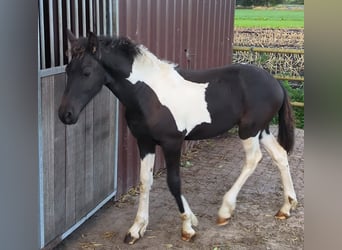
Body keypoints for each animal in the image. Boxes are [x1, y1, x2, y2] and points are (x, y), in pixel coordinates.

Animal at [58, 31, 296, 244]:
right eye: (68, 69)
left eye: (87, 71)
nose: (65, 114)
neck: (146, 93)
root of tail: (275, 82)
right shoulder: (145, 142)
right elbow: (145, 181)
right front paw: (137, 229)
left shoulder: (172, 142)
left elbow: (173, 182)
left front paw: (187, 228)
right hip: (261, 130)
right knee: (280, 155)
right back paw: (286, 207)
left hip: (248, 130)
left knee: (253, 159)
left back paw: (225, 210)